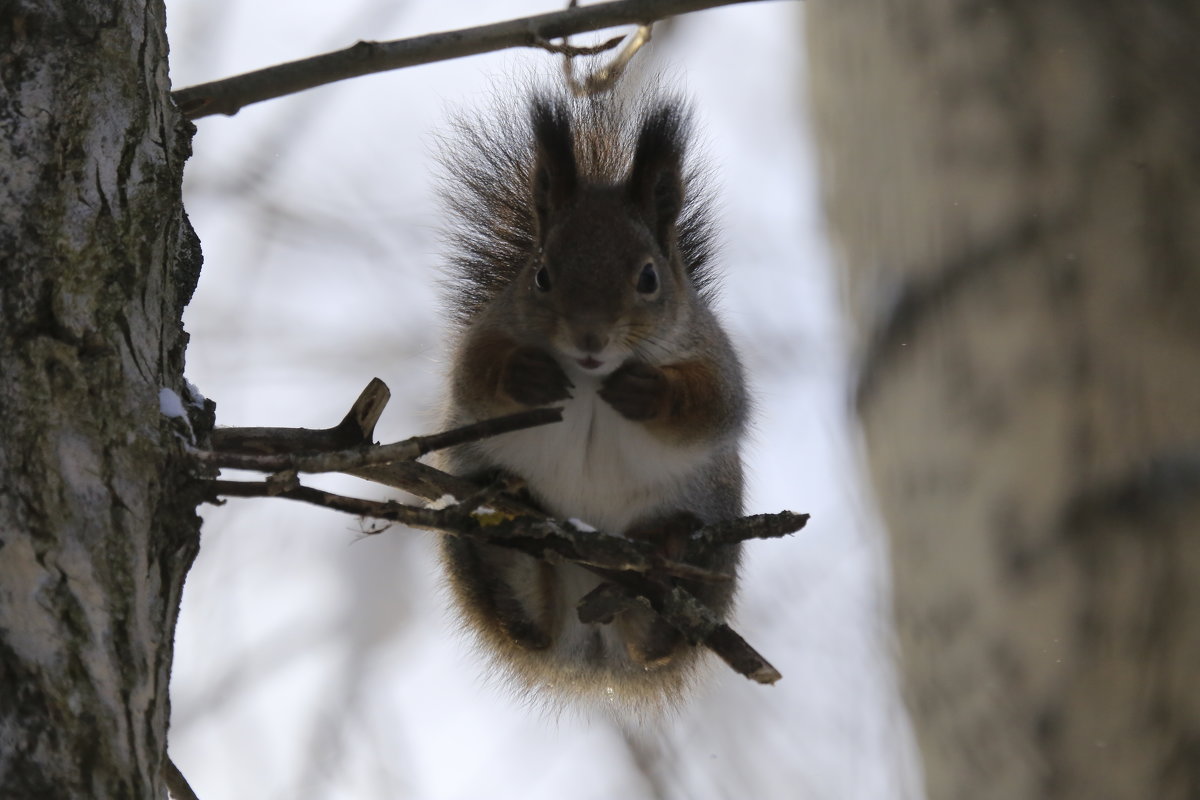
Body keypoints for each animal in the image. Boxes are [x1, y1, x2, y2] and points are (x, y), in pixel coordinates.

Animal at [432, 84, 748, 710]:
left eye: (649, 277)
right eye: (541, 275)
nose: (590, 339)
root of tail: (592, 646)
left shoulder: (714, 356)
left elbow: (714, 406)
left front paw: (646, 391)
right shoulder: (487, 335)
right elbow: (474, 377)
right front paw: (527, 375)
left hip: (718, 540)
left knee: (657, 644)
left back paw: (667, 551)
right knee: (528, 626)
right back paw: (509, 534)